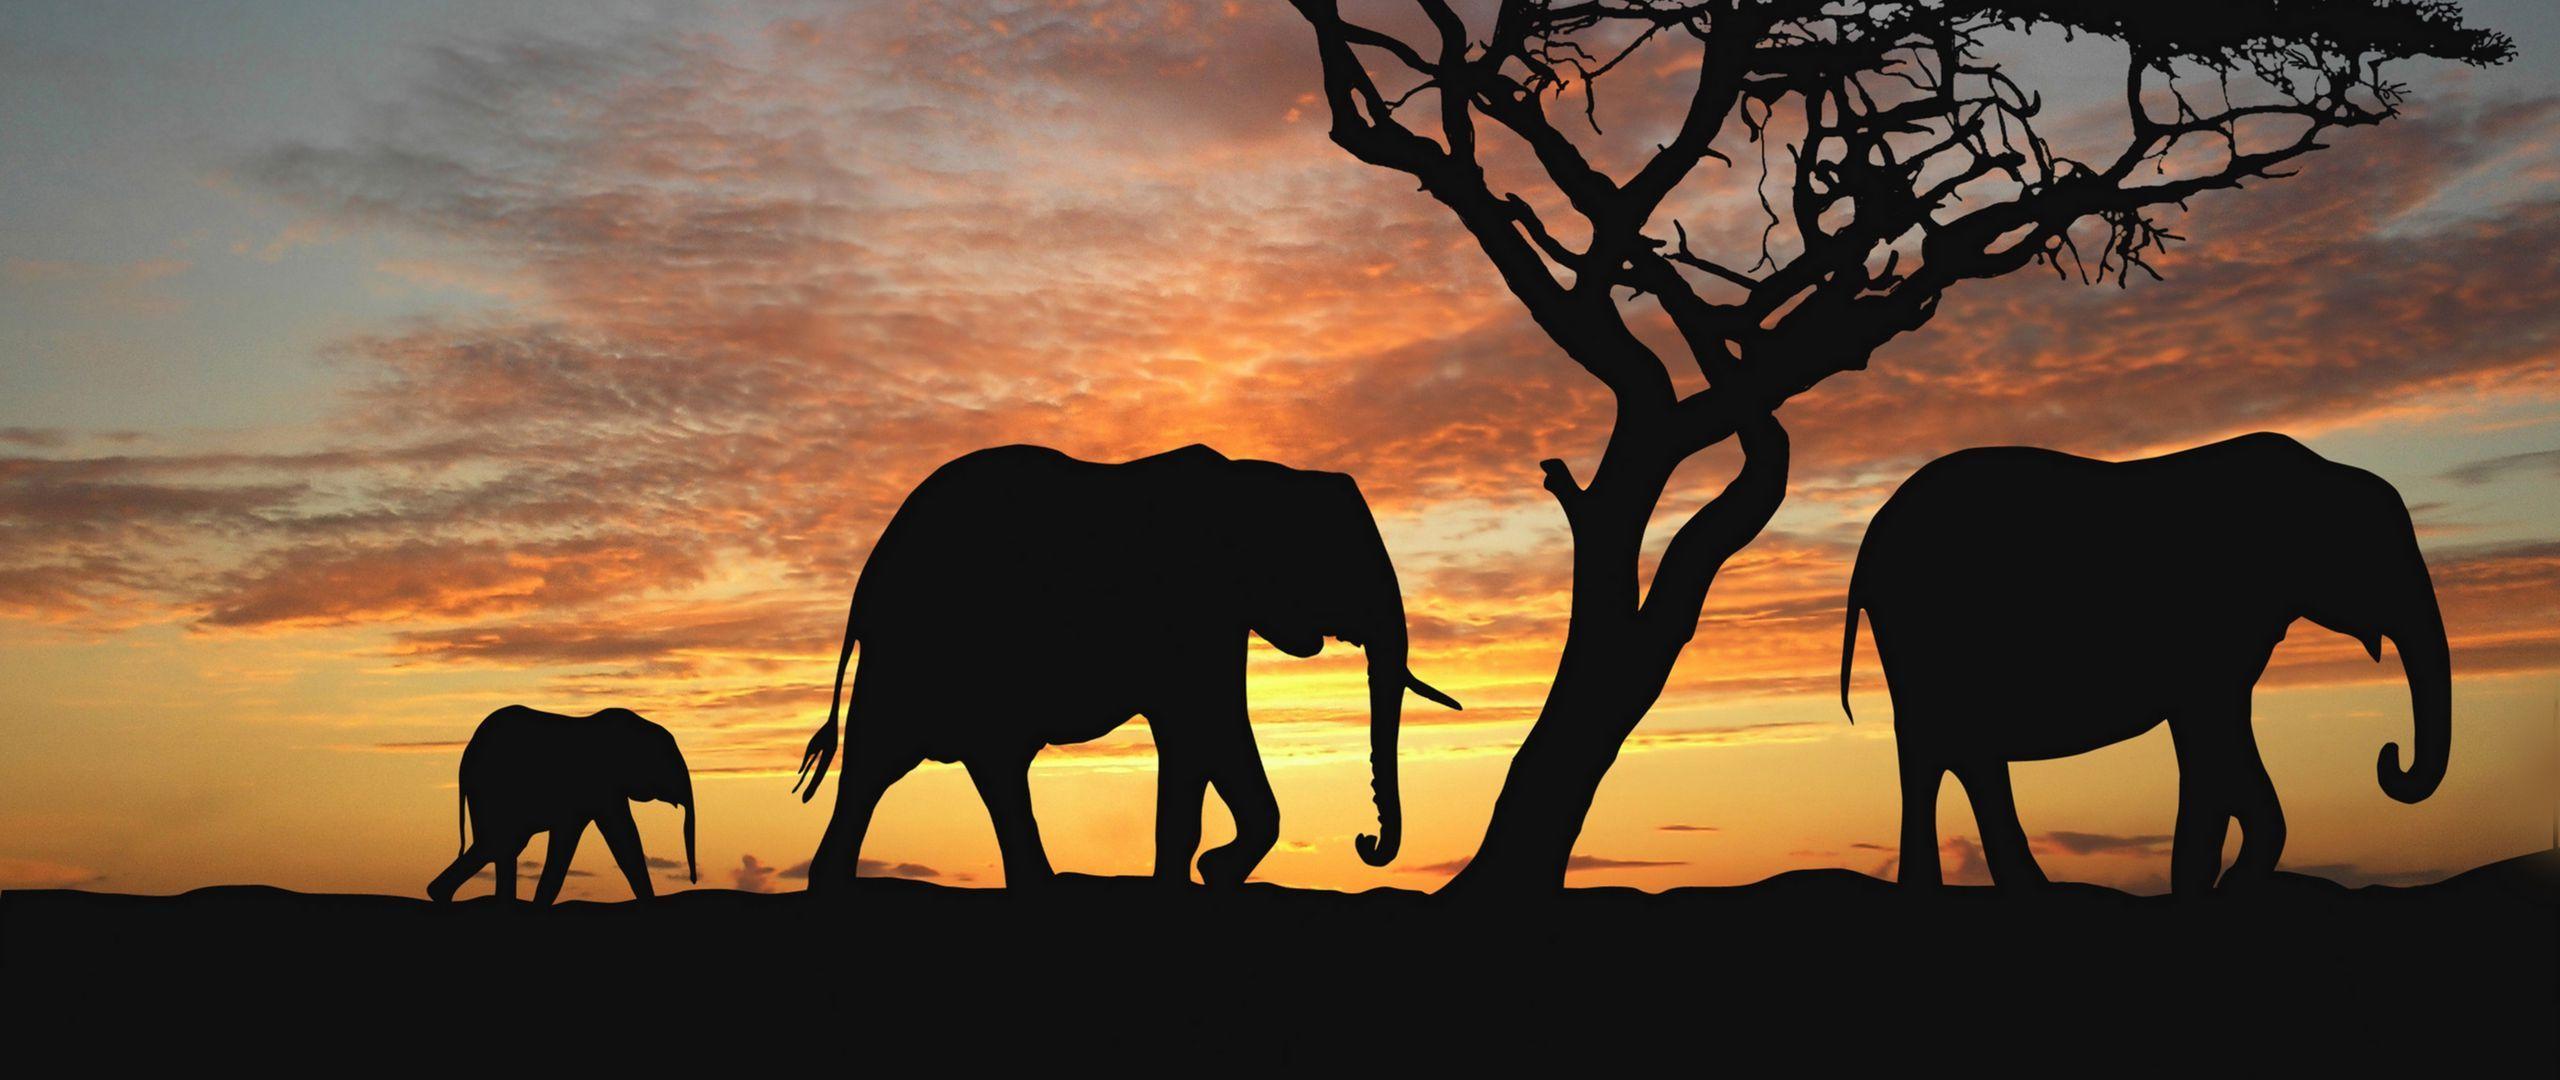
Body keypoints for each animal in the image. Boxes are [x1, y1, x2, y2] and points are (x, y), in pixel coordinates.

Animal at [426, 705, 697, 905]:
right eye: (668, 761)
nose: (693, 880)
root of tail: (466, 756)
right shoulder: (599, 787)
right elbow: (619, 837)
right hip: (491, 790)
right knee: (498, 844)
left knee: (502, 846)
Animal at [791, 444, 1461, 891]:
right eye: (1344, 563)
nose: (1366, 841)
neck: (1258, 477)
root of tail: (866, 580)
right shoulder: (1196, 611)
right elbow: (1207, 725)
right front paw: (1206, 872)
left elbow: (1203, 738)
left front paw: (1206, 874)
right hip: (919, 648)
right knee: (893, 761)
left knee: (960, 765)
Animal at [1838, 433, 2450, 895]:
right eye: (2380, 557)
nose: (2389, 757)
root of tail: (1870, 539)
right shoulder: (2212, 630)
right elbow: (2213, 736)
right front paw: (2215, 884)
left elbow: (2215, 744)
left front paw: (2214, 882)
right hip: (1926, 634)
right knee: (1942, 749)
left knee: (1956, 752)